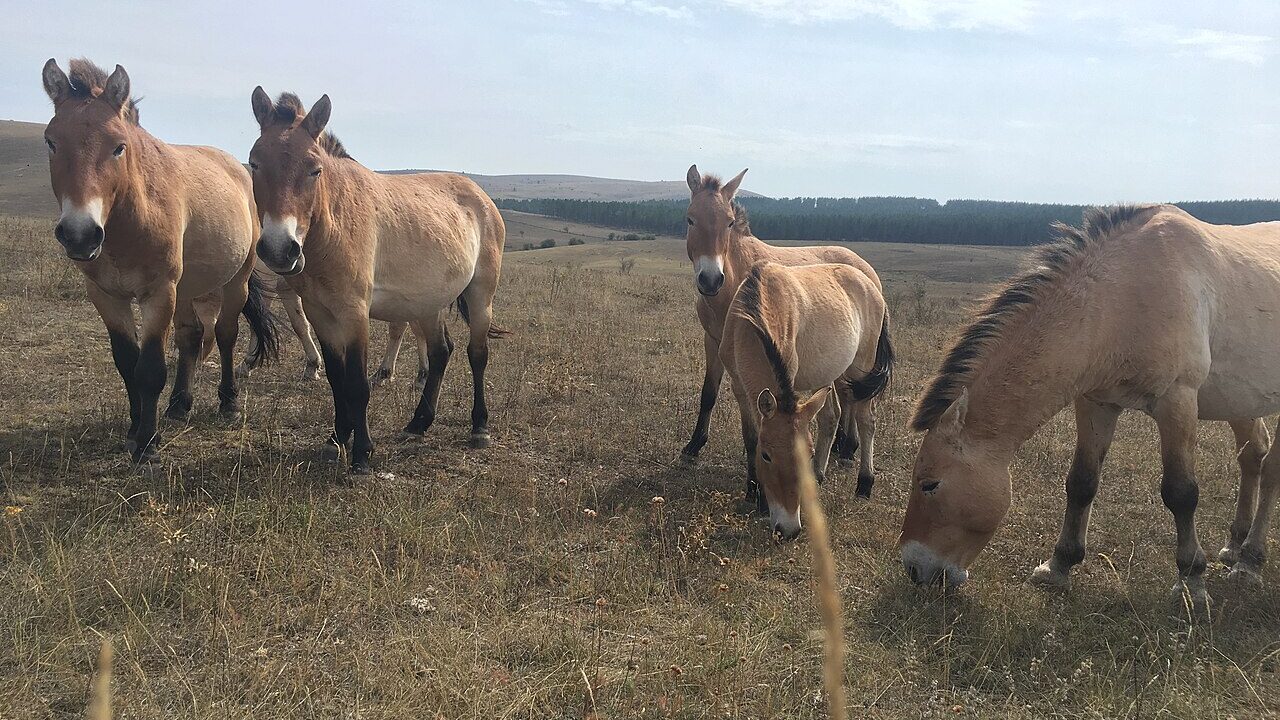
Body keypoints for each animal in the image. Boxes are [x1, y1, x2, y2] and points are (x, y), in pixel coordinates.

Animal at [41, 59, 278, 462]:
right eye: (51, 141)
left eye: (119, 147)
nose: (80, 234)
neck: (130, 221)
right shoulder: (106, 296)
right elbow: (127, 363)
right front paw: (135, 430)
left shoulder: (158, 293)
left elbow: (150, 369)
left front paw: (148, 445)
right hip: (186, 288)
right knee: (192, 336)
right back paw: (179, 405)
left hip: (235, 282)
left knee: (225, 334)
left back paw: (228, 403)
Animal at [247, 89, 507, 473]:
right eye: (254, 163)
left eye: (314, 169)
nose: (280, 248)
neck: (335, 224)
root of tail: (481, 196)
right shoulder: (320, 313)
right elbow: (337, 379)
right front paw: (335, 439)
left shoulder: (355, 313)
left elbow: (357, 383)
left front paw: (362, 454)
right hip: (428, 304)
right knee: (441, 352)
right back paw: (418, 423)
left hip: (480, 296)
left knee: (477, 354)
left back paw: (479, 427)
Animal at [681, 165, 886, 500]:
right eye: (690, 219)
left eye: (729, 222)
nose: (710, 280)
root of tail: (866, 272)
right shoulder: (713, 342)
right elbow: (708, 393)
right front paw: (693, 447)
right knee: (846, 400)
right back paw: (842, 450)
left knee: (857, 404)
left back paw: (855, 464)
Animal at [720, 262, 894, 536]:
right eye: (766, 456)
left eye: (808, 454)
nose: (789, 529)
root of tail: (870, 285)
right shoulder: (739, 388)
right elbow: (750, 437)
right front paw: (753, 491)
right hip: (831, 375)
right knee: (831, 418)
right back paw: (819, 476)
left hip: (860, 369)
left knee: (867, 420)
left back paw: (864, 484)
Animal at [899, 204, 1280, 612]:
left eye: (929, 484)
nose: (914, 568)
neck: (1124, 296)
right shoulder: (1096, 404)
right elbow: (1081, 482)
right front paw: (1058, 566)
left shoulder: (1177, 401)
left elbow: (1181, 493)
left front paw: (1191, 581)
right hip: (1241, 401)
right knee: (1253, 456)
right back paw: (1234, 547)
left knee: (1270, 470)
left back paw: (1250, 562)